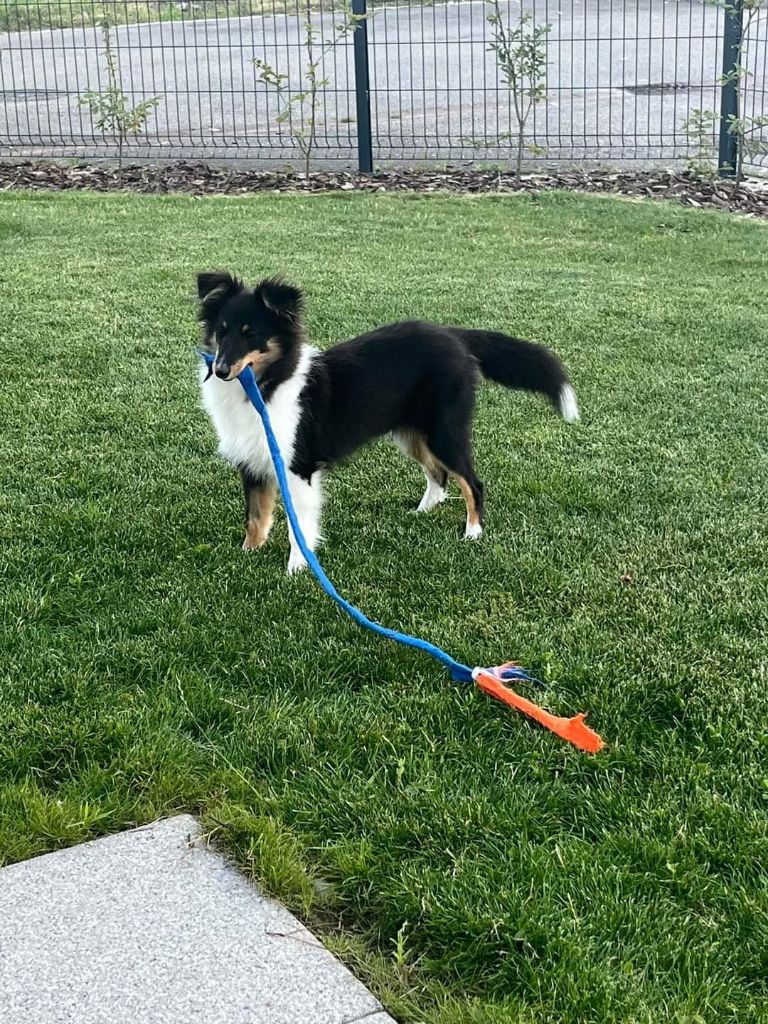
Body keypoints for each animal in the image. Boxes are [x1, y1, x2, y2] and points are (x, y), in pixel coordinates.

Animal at [196, 272, 577, 577]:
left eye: (251, 334)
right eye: (222, 331)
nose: (221, 370)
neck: (268, 384)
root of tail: (453, 335)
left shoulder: (298, 467)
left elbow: (298, 526)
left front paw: (297, 569)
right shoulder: (253, 462)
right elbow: (256, 516)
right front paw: (248, 555)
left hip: (444, 430)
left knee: (472, 481)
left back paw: (472, 532)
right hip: (413, 433)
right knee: (438, 476)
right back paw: (422, 512)